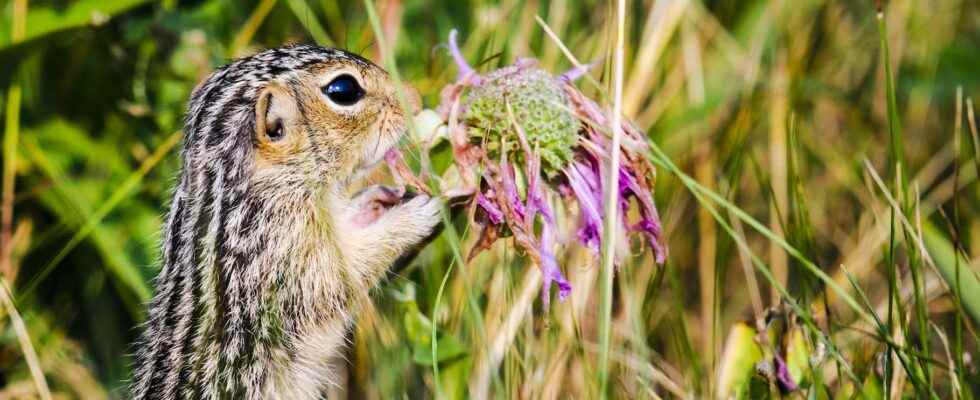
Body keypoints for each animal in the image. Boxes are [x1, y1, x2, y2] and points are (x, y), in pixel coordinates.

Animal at [129, 45, 440, 398]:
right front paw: (412, 217)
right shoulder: (282, 257)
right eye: (343, 90)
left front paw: (375, 200)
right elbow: (343, 276)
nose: (415, 98)